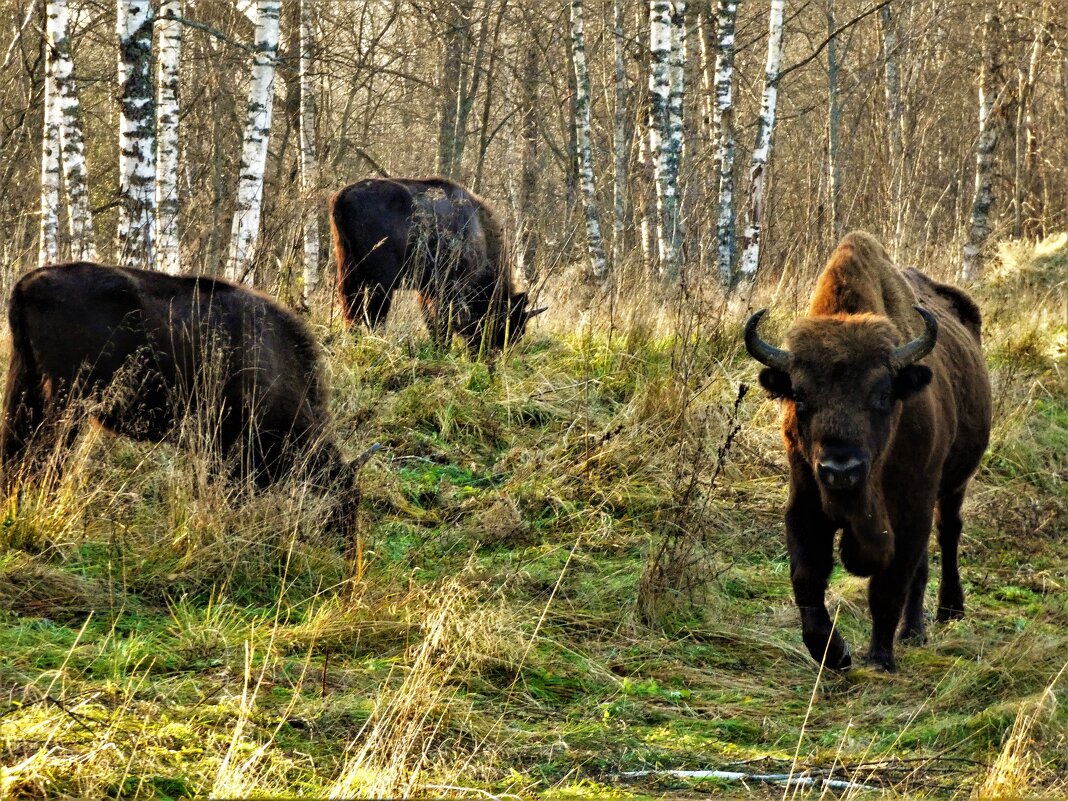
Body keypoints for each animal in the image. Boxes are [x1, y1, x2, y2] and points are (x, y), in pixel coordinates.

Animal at [1, 263, 363, 540]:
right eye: (342, 499)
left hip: (27, 394)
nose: (345, 546)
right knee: (45, 459)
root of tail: (27, 283)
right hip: (65, 405)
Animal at [328, 178, 542, 348]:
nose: (499, 348)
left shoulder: (427, 289)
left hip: (349, 273)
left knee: (351, 310)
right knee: (373, 314)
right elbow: (443, 322)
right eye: (509, 321)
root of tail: (342, 196)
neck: (479, 231)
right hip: (381, 283)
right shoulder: (448, 289)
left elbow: (431, 321)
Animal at [747, 230, 986, 670]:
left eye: (882, 394)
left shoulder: (911, 507)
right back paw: (913, 631)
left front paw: (878, 657)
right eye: (799, 397)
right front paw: (833, 653)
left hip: (953, 484)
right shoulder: (806, 501)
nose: (842, 469)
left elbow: (888, 585)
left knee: (947, 534)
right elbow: (806, 578)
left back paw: (946, 612)